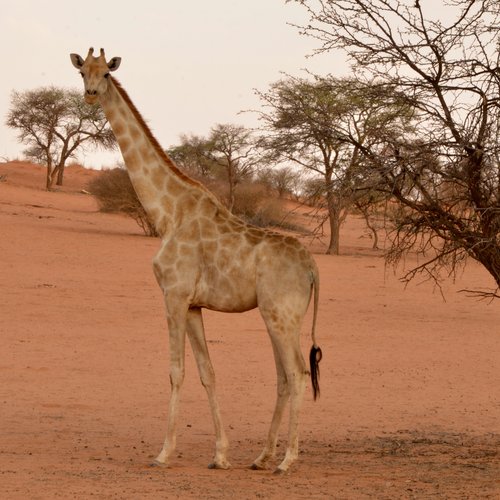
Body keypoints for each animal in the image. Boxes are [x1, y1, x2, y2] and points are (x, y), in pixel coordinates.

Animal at [71, 47, 324, 472]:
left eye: (105, 73)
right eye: (81, 71)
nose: (89, 95)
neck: (167, 212)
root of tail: (312, 268)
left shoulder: (172, 295)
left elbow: (177, 371)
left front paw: (163, 453)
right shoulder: (193, 304)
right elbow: (208, 372)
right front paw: (220, 455)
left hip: (281, 314)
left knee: (298, 372)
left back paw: (286, 460)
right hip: (278, 316)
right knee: (283, 377)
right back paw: (261, 457)